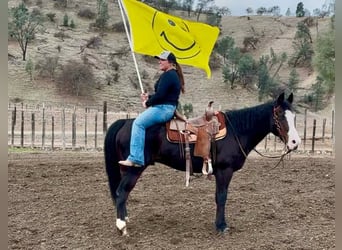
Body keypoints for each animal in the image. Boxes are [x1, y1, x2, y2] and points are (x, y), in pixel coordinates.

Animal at [103, 93, 300, 235]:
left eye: (294, 116)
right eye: (279, 114)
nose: (295, 142)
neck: (237, 130)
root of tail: (126, 122)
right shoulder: (224, 171)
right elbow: (221, 197)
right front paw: (221, 226)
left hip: (125, 169)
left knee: (122, 194)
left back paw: (125, 218)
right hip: (133, 170)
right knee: (121, 193)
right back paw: (121, 226)